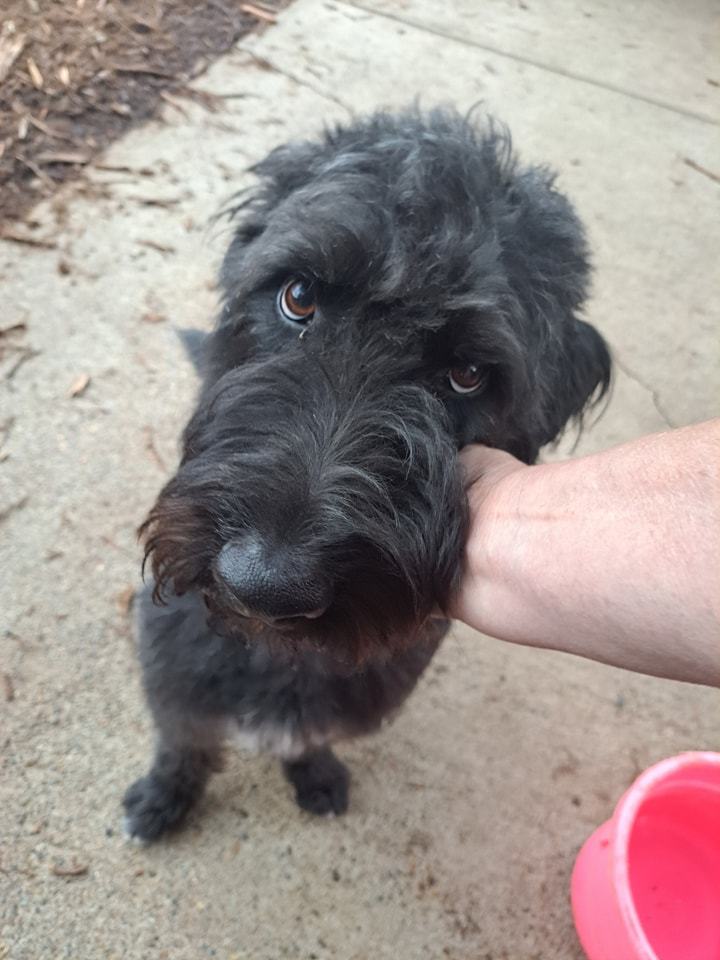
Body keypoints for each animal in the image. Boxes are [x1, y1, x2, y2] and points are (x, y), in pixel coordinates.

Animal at [122, 107, 608, 840]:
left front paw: (315, 774)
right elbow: (184, 743)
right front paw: (163, 796)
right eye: (298, 296)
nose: (264, 583)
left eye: (469, 374)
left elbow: (309, 739)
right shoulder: (175, 683)